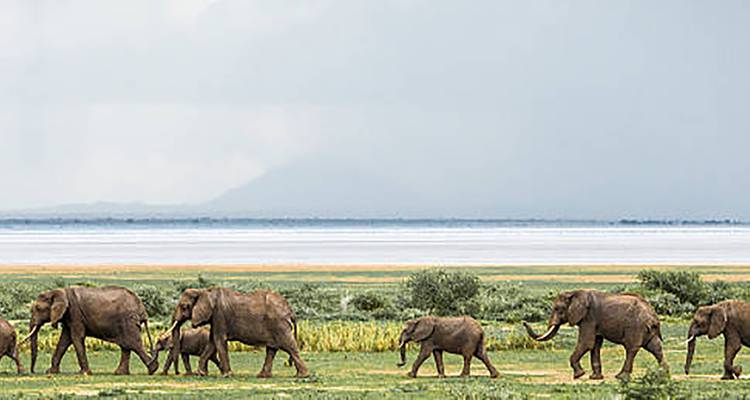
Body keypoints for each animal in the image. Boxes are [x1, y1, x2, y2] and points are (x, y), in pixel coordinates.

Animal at [21, 286, 158, 375]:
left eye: (38, 309)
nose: (33, 371)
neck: (59, 291)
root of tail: (142, 309)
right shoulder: (69, 316)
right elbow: (65, 340)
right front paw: (51, 372)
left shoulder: (75, 313)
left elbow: (76, 338)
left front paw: (85, 373)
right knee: (126, 346)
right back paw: (120, 373)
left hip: (128, 320)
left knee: (133, 344)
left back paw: (152, 369)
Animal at [162, 287, 309, 378]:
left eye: (184, 306)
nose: (178, 373)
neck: (204, 291)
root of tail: (290, 310)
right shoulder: (215, 318)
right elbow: (212, 343)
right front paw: (201, 374)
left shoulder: (219, 315)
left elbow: (219, 341)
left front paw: (226, 375)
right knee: (272, 349)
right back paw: (263, 376)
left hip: (279, 325)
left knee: (289, 346)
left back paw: (302, 376)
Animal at [524, 290, 667, 380]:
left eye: (558, 309)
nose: (524, 322)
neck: (575, 292)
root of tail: (654, 315)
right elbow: (595, 345)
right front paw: (594, 378)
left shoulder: (588, 318)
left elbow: (586, 343)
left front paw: (579, 375)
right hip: (647, 329)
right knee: (655, 347)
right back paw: (664, 374)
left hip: (635, 326)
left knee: (631, 348)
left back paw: (621, 377)